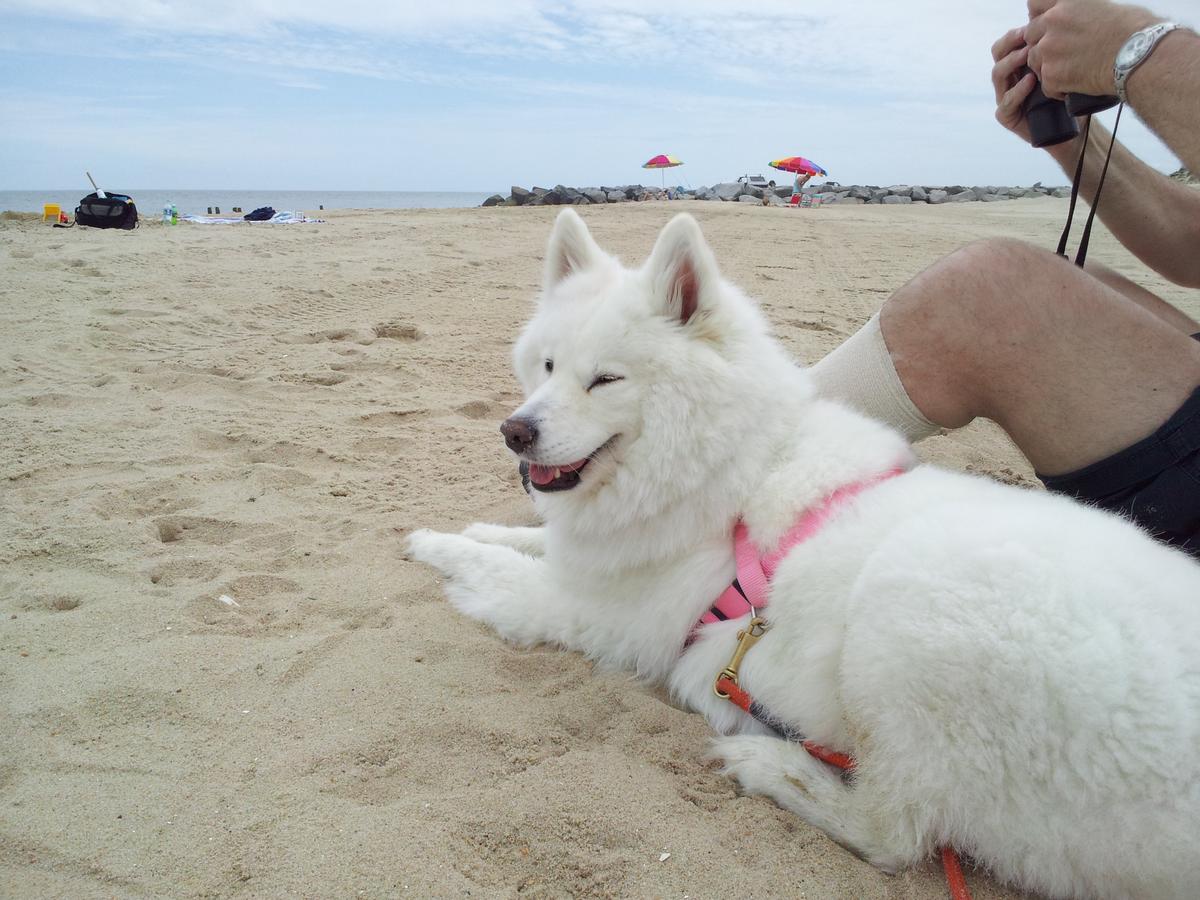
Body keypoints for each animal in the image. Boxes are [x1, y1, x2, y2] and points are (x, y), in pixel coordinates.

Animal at [410, 211, 1200, 900]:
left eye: (605, 379)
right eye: (546, 365)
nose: (515, 431)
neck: (727, 469)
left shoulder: (597, 612)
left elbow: (504, 572)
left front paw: (432, 544)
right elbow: (527, 539)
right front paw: (479, 529)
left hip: (911, 609)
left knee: (895, 832)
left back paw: (769, 764)